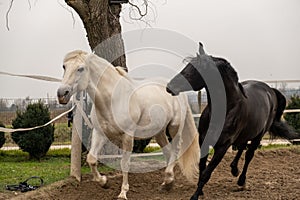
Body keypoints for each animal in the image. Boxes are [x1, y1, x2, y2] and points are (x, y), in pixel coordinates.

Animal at [57, 50, 200, 200]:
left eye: (81, 68)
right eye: (64, 66)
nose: (62, 94)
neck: (114, 99)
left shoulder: (127, 136)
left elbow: (124, 163)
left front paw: (123, 192)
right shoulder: (100, 133)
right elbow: (92, 159)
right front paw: (104, 182)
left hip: (174, 127)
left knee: (175, 149)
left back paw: (168, 180)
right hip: (159, 132)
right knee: (167, 151)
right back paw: (167, 183)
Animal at [165, 43, 298, 199]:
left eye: (197, 69)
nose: (170, 86)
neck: (226, 108)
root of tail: (270, 90)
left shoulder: (223, 146)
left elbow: (206, 173)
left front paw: (195, 195)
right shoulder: (203, 140)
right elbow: (202, 166)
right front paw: (200, 191)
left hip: (258, 136)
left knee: (249, 154)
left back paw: (241, 180)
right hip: (247, 132)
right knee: (242, 146)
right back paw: (234, 169)